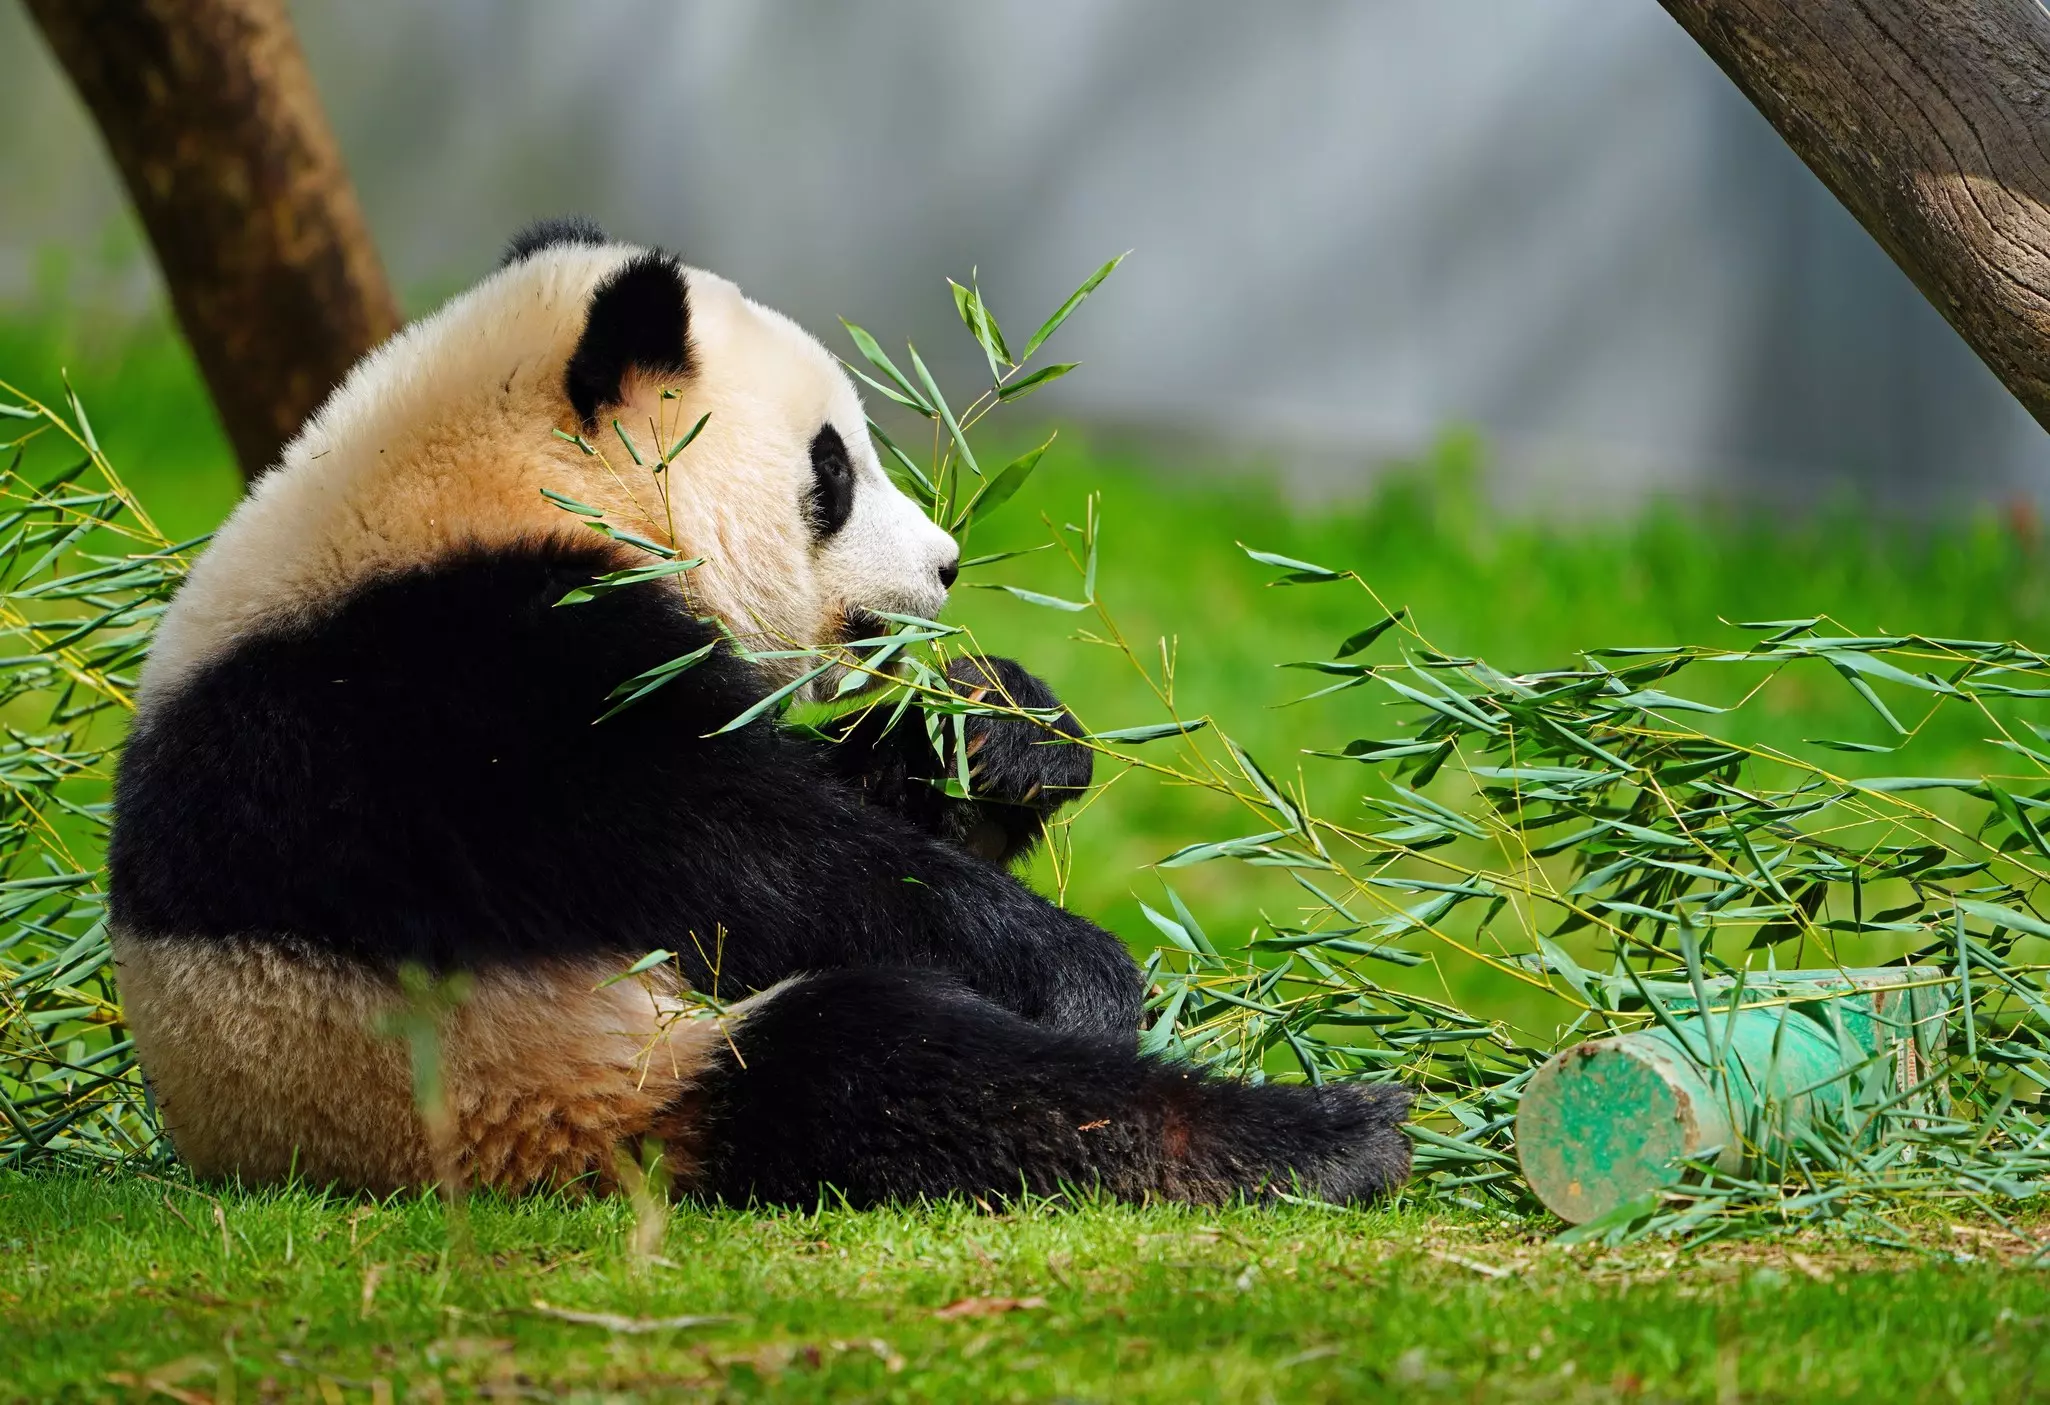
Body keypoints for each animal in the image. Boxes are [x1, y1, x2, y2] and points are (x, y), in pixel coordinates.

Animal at [106, 217, 1412, 1206]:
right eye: (831, 470)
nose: (944, 565)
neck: (492, 482)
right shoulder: (443, 686)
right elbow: (737, 851)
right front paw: (1075, 967)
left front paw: (1000, 727)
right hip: (560, 1075)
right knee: (889, 1074)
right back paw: (1327, 1136)